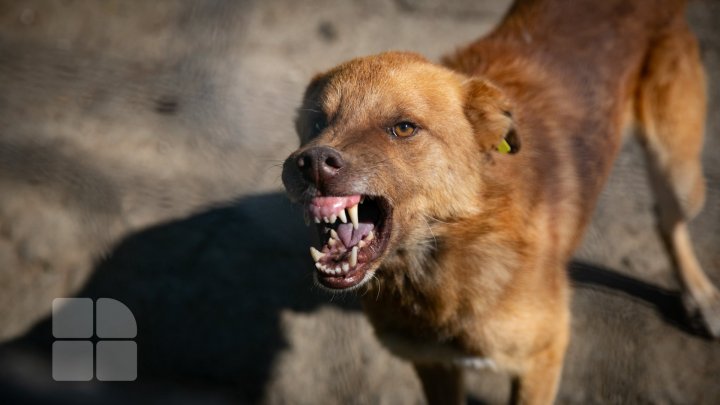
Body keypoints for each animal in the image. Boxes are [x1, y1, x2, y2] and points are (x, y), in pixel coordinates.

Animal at [282, 1, 720, 402]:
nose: (311, 163)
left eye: (404, 128)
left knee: (667, 219)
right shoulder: (434, 364)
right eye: (316, 122)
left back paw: (701, 296)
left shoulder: (542, 360)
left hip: (679, 174)